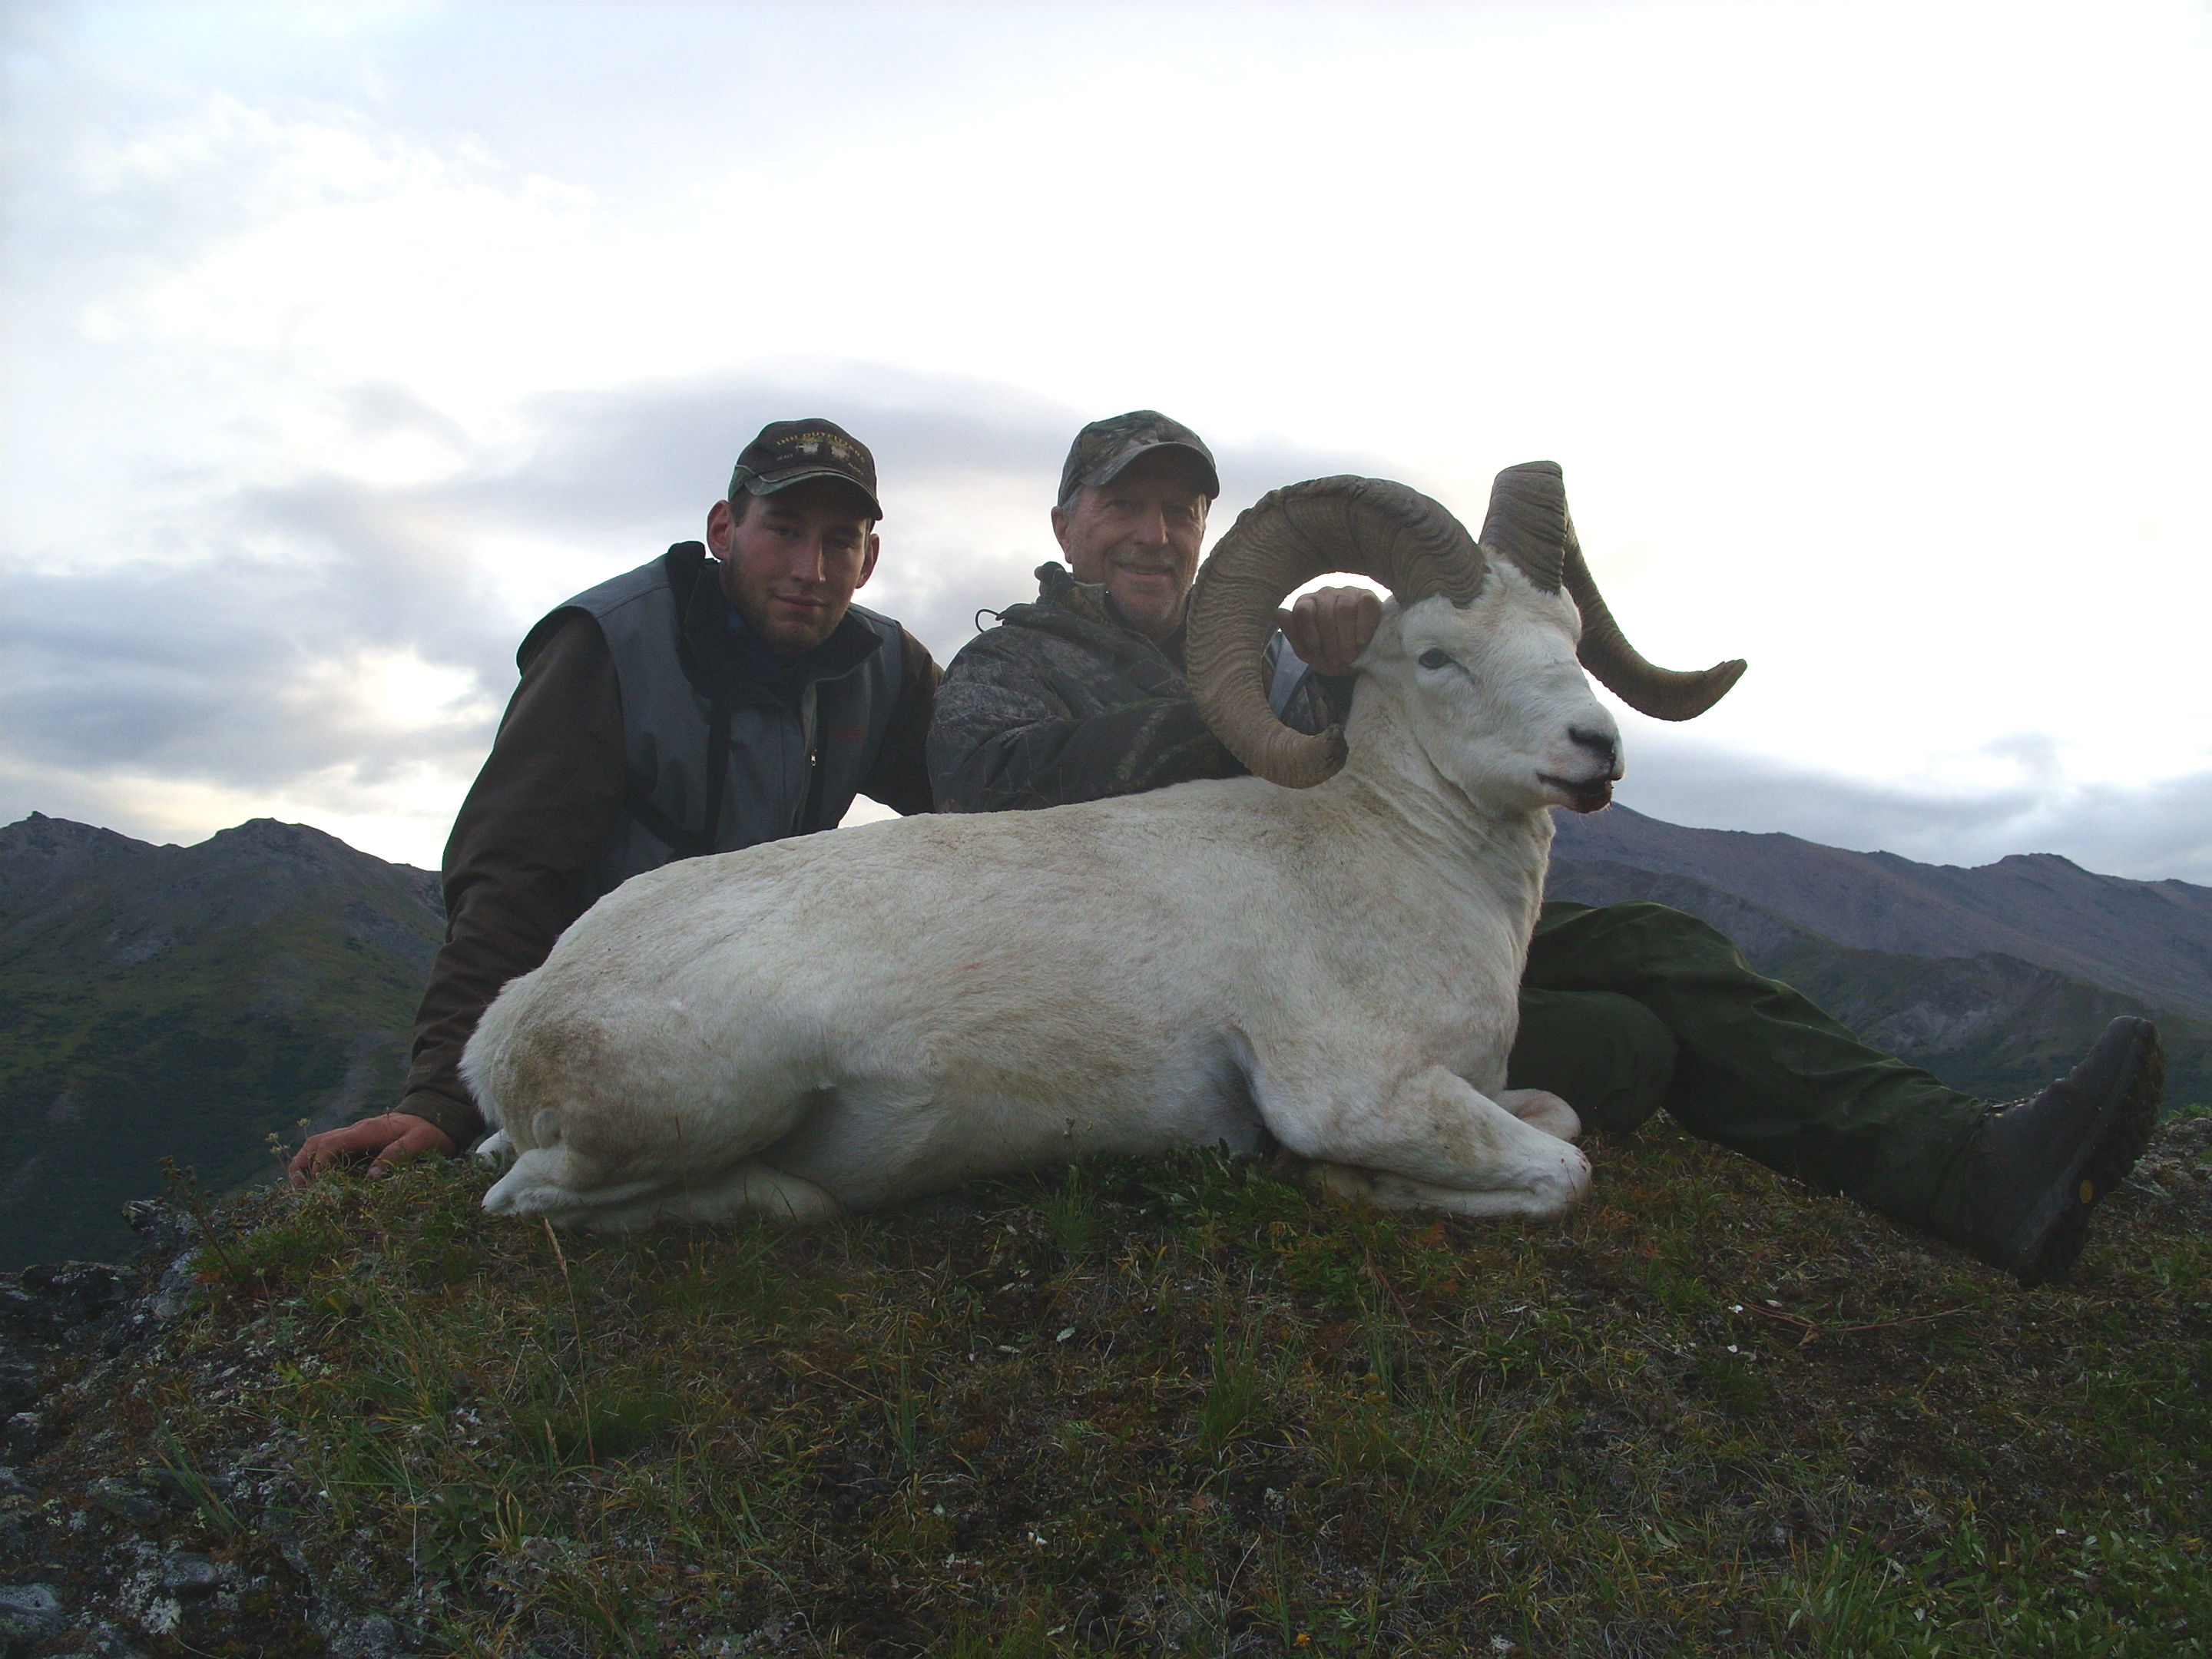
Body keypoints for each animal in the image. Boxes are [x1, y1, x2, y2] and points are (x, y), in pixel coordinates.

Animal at [463, 464, 1743, 1230]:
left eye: (1567, 632)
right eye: (1435, 655)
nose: (1595, 751)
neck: (1389, 857)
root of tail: (513, 1026)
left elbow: (1562, 1120)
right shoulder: (1357, 1092)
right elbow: (1565, 1171)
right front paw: (1346, 1182)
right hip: (701, 1105)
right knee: (531, 1196)